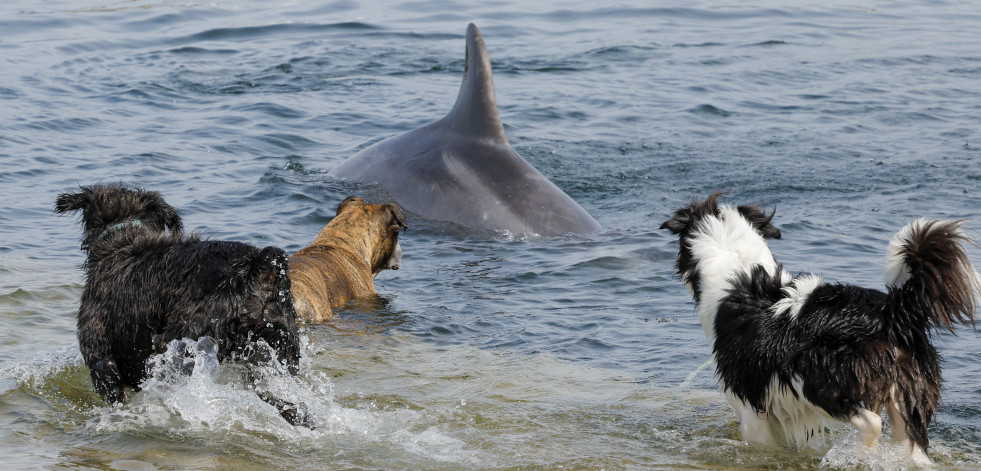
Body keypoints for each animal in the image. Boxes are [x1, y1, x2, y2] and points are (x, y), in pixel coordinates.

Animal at [664, 194, 976, 466]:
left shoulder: (750, 409)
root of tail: (891, 310)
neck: (737, 262)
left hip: (815, 380)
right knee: (914, 447)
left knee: (872, 422)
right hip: (909, 394)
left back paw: (859, 454)